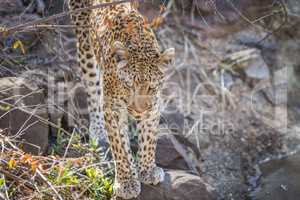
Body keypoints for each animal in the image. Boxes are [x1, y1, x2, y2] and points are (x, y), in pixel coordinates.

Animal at [67, 0, 176, 198]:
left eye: (151, 87)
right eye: (128, 85)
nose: (139, 110)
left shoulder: (153, 106)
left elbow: (149, 139)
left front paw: (147, 170)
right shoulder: (114, 109)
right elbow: (119, 147)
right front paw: (126, 182)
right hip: (84, 42)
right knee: (93, 88)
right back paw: (98, 130)